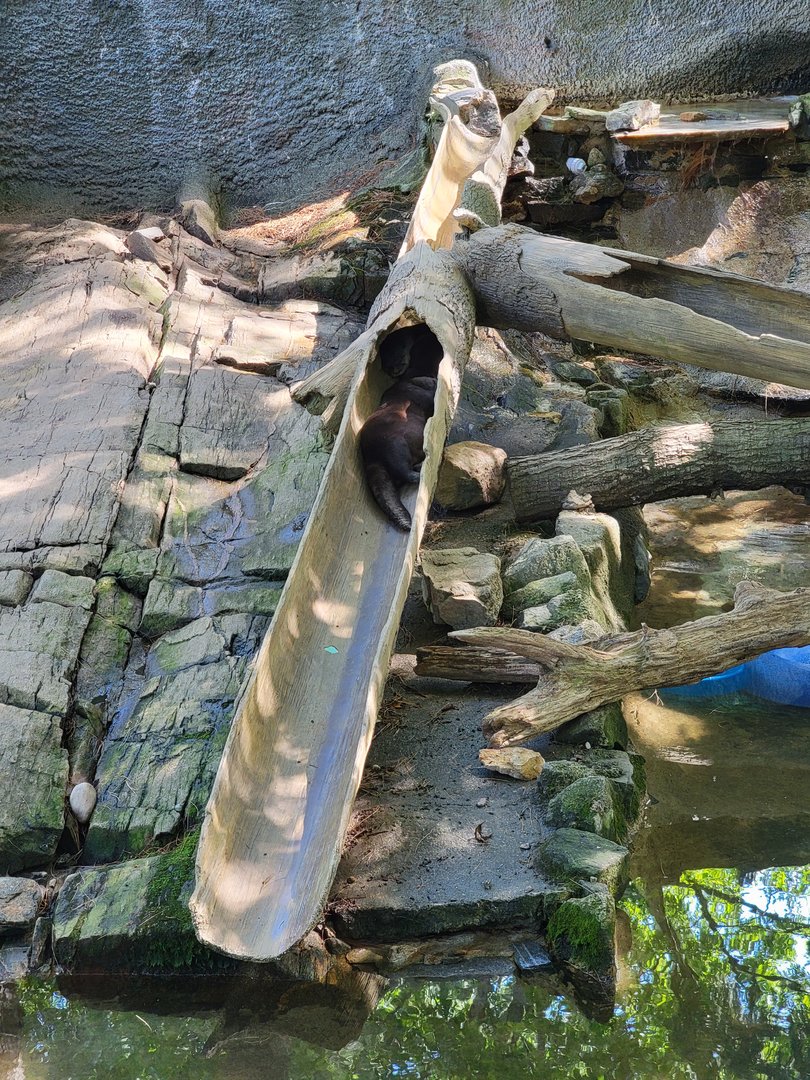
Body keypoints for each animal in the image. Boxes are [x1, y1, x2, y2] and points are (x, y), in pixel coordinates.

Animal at [360, 376, 437, 531]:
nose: (434, 379)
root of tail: (372, 459)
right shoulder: (416, 393)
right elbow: (430, 398)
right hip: (395, 445)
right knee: (404, 471)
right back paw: (420, 472)